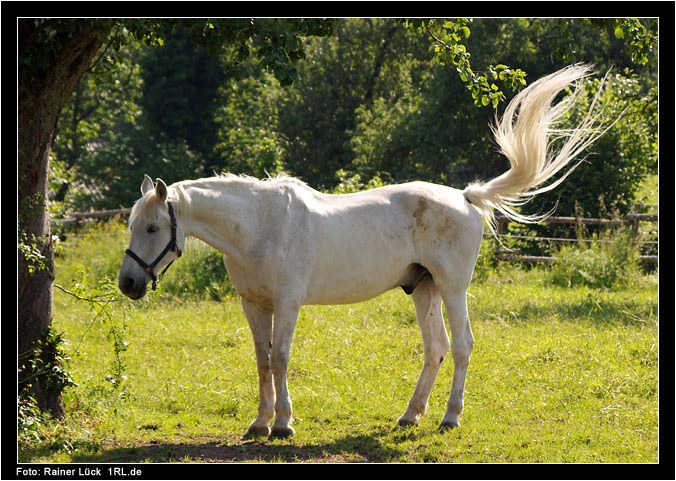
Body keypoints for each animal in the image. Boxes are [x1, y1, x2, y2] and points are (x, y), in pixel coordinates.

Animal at [119, 64, 608, 438]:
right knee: (436, 348)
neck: (260, 226)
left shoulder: (287, 303)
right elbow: (261, 360)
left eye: (152, 226)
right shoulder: (253, 304)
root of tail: (466, 197)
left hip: (452, 288)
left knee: (463, 345)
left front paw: (284, 425)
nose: (128, 283)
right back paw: (410, 415)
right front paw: (259, 424)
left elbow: (280, 358)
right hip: (424, 289)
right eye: (131, 225)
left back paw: (450, 418)